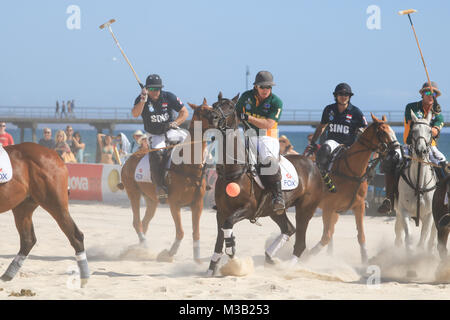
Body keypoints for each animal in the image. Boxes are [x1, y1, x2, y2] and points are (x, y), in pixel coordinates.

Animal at [0, 142, 89, 284]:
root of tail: (54, 154)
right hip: (23, 207)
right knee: (28, 240)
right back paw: (7, 275)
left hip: (56, 205)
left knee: (76, 236)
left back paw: (84, 277)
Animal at [119, 102, 214, 262]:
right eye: (203, 111)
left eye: (213, 108)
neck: (188, 165)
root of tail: (128, 160)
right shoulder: (174, 204)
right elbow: (180, 232)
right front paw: (168, 253)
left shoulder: (197, 204)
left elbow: (196, 233)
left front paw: (197, 260)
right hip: (133, 193)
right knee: (137, 223)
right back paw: (144, 247)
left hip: (151, 200)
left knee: (144, 223)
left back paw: (138, 248)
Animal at [203, 93, 324, 276]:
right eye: (214, 104)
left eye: (230, 106)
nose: (212, 117)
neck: (234, 170)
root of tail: (313, 164)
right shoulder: (221, 211)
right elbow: (220, 237)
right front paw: (212, 268)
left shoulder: (248, 208)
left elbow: (228, 225)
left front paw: (232, 252)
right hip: (274, 210)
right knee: (289, 229)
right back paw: (270, 257)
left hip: (306, 208)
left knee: (300, 242)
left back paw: (287, 267)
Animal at [308, 114, 400, 262]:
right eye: (383, 132)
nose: (396, 153)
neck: (352, 171)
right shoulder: (328, 207)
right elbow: (326, 236)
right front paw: (308, 255)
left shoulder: (358, 206)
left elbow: (360, 235)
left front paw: (365, 259)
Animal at [396, 110, 438, 255]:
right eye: (413, 130)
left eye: (430, 131)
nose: (421, 150)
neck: (419, 184)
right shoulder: (403, 212)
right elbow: (408, 239)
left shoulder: (430, 216)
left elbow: (423, 238)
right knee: (398, 236)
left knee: (433, 237)